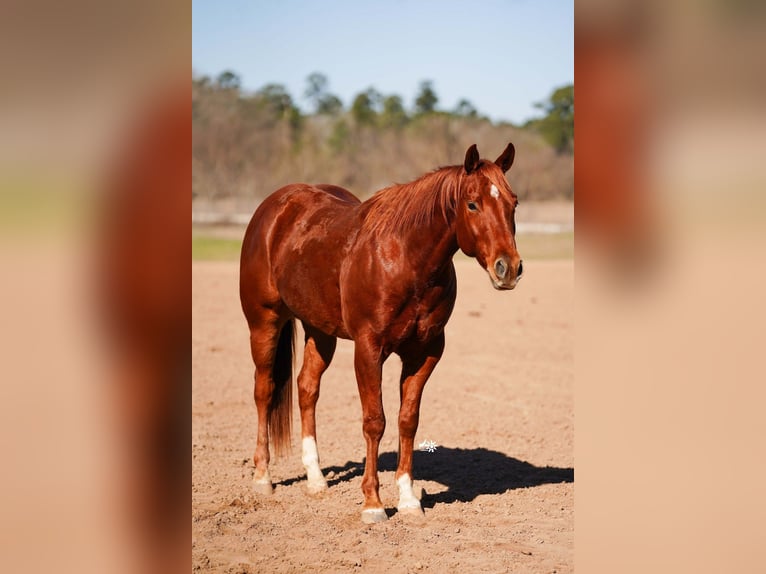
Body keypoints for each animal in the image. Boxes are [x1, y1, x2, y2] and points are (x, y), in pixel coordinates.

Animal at [239, 143, 523, 523]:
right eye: (472, 204)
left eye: (512, 202)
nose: (508, 268)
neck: (406, 260)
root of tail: (274, 208)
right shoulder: (368, 349)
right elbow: (375, 421)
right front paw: (373, 504)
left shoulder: (425, 352)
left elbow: (407, 421)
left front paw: (408, 499)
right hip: (264, 322)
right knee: (264, 391)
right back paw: (262, 477)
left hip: (320, 332)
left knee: (306, 389)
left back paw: (315, 479)